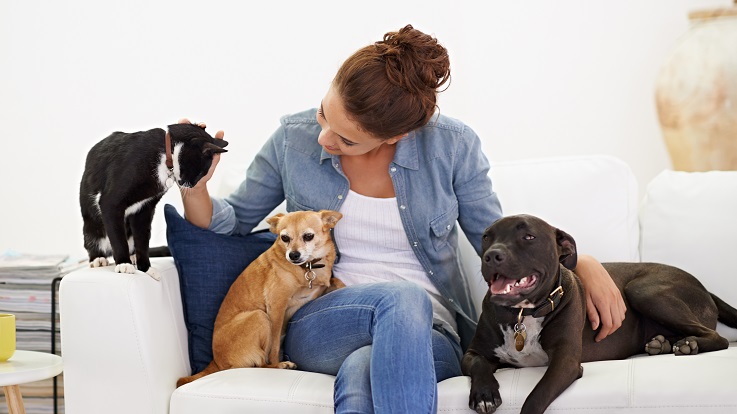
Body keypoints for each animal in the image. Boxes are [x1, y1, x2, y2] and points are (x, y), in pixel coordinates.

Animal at [78, 122, 226, 278]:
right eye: (200, 172)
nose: (191, 185)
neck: (166, 153)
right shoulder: (111, 202)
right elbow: (118, 237)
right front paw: (123, 264)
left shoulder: (144, 208)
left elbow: (142, 239)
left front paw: (146, 268)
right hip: (92, 226)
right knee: (94, 239)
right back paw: (99, 259)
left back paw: (133, 257)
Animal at [460, 215, 736, 412]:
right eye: (486, 237)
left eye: (529, 236)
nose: (491, 255)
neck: (522, 314)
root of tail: (705, 288)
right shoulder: (472, 353)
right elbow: (478, 363)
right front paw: (484, 395)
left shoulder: (565, 362)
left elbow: (535, 397)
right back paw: (662, 344)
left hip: (643, 290)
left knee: (719, 338)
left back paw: (689, 345)